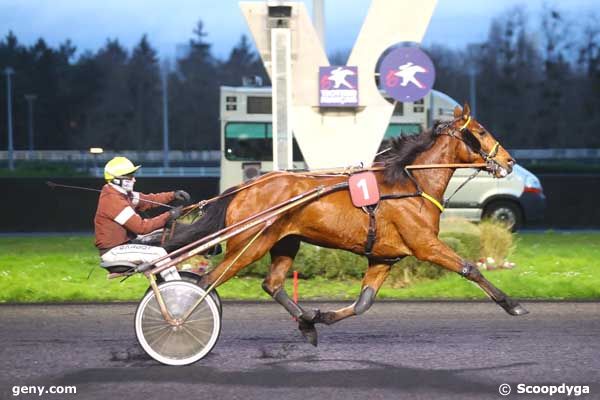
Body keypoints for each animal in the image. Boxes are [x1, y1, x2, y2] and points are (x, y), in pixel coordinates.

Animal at [165, 104, 528, 346]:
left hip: (284, 241)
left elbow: (364, 302)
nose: (509, 161)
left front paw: (321, 317)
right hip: (250, 244)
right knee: (207, 281)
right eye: (480, 132)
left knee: (272, 283)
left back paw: (306, 323)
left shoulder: (384, 257)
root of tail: (244, 187)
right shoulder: (425, 245)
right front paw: (513, 305)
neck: (411, 183)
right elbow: (470, 268)